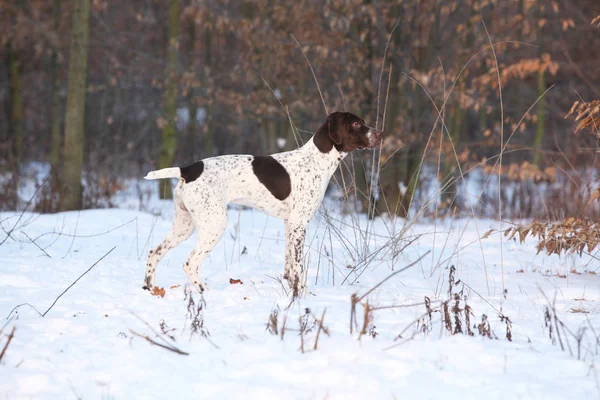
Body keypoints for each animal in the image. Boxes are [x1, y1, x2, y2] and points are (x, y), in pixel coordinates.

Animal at [143, 111, 382, 296]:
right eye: (356, 124)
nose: (380, 134)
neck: (316, 160)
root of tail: (188, 170)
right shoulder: (299, 224)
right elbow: (298, 267)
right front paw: (301, 296)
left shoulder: (290, 224)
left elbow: (289, 267)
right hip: (214, 224)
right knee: (190, 263)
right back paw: (204, 292)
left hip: (185, 224)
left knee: (155, 251)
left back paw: (150, 288)